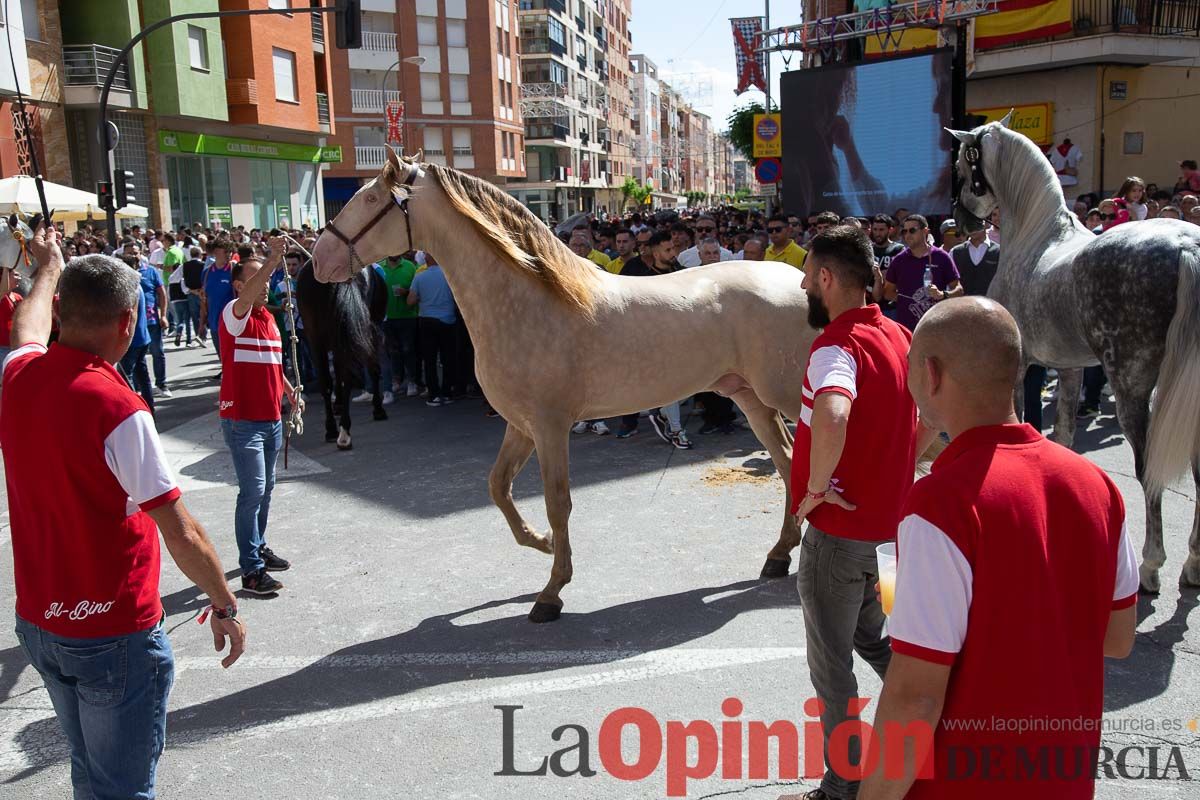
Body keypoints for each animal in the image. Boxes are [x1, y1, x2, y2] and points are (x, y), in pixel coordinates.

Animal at [312, 151, 816, 623]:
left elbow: (558, 501)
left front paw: (551, 592)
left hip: (787, 395)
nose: (320, 260)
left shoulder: (551, 427)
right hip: (751, 397)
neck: (530, 301)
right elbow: (498, 488)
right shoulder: (521, 425)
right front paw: (541, 542)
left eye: (372, 200)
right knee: (787, 461)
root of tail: (803, 281)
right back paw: (778, 555)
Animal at [950, 117, 1195, 594]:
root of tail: (1184, 246)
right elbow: (1063, 437)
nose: (962, 218)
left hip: (1131, 382)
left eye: (961, 164)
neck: (1037, 238)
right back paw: (1193, 563)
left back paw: (1152, 566)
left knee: (1148, 467)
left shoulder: (1022, 366)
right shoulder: (1071, 367)